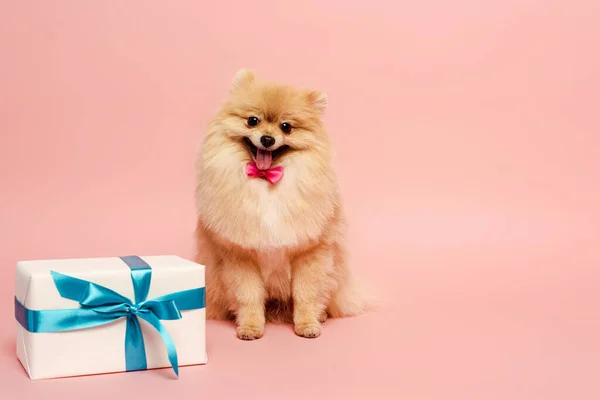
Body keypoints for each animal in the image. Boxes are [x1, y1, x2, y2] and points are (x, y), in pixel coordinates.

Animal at [195, 69, 368, 340]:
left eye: (286, 127)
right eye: (252, 121)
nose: (267, 139)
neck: (266, 181)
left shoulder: (311, 252)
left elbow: (306, 293)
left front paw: (307, 324)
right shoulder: (239, 255)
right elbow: (248, 296)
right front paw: (250, 327)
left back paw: (321, 315)